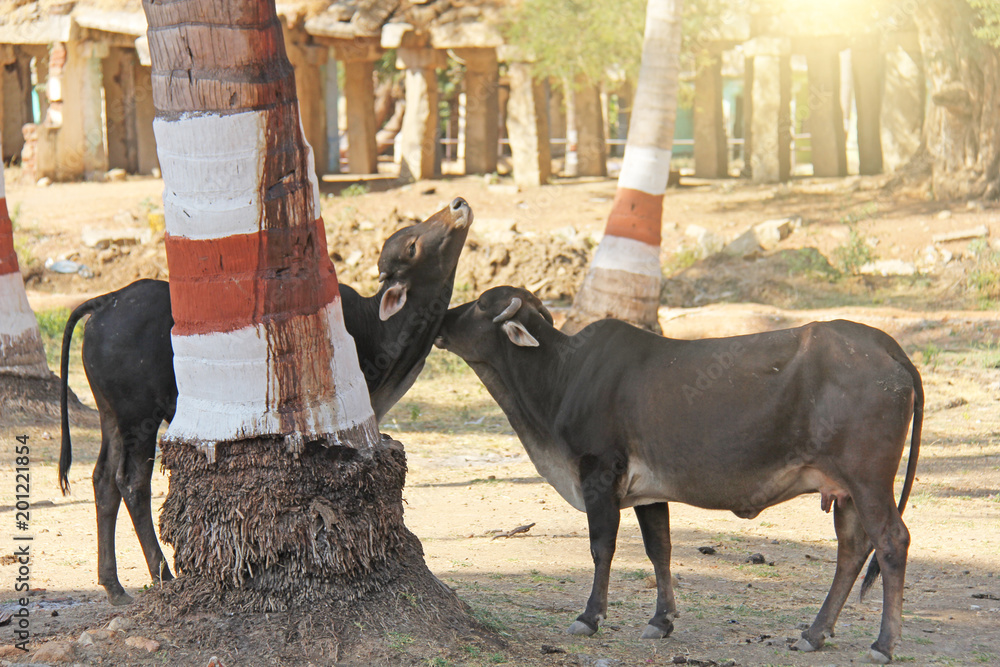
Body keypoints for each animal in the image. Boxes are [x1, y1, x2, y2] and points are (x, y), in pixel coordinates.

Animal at [58, 197, 473, 606]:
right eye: (413, 246)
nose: (458, 204)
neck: (379, 329)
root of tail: (108, 300)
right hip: (138, 418)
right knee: (131, 482)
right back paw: (162, 574)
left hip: (111, 416)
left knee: (103, 480)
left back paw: (113, 585)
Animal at [434, 286, 923, 664]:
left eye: (481, 304)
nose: (442, 316)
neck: (560, 378)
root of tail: (888, 347)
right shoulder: (649, 491)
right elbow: (660, 550)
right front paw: (661, 620)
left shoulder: (599, 472)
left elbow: (601, 548)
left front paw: (590, 617)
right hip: (845, 490)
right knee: (852, 549)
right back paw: (814, 634)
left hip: (868, 479)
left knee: (891, 541)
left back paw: (883, 644)